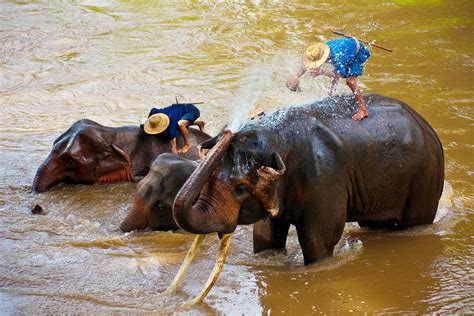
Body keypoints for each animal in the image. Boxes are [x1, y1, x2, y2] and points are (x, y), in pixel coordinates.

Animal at [173, 93, 444, 264]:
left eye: (239, 188)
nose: (230, 131)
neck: (278, 137)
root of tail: (427, 125)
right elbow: (265, 236)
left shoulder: (326, 178)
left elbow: (319, 240)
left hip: (426, 179)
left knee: (415, 221)